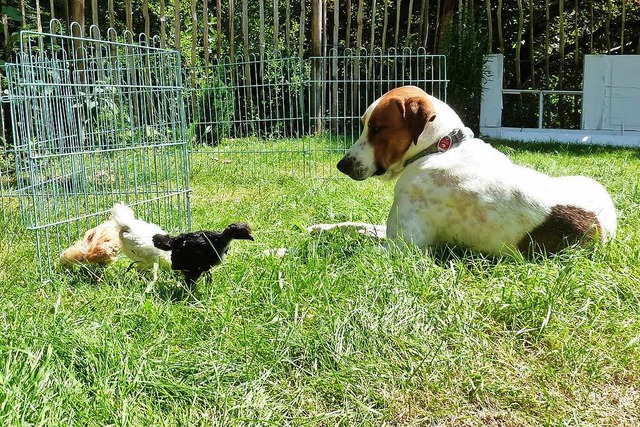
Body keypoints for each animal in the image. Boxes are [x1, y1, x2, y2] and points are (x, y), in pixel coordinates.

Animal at [308, 85, 616, 256]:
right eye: (364, 124)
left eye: (377, 128)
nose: (341, 165)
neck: (437, 149)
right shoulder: (391, 232)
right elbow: (354, 225)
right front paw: (320, 228)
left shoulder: (406, 246)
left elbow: (352, 248)